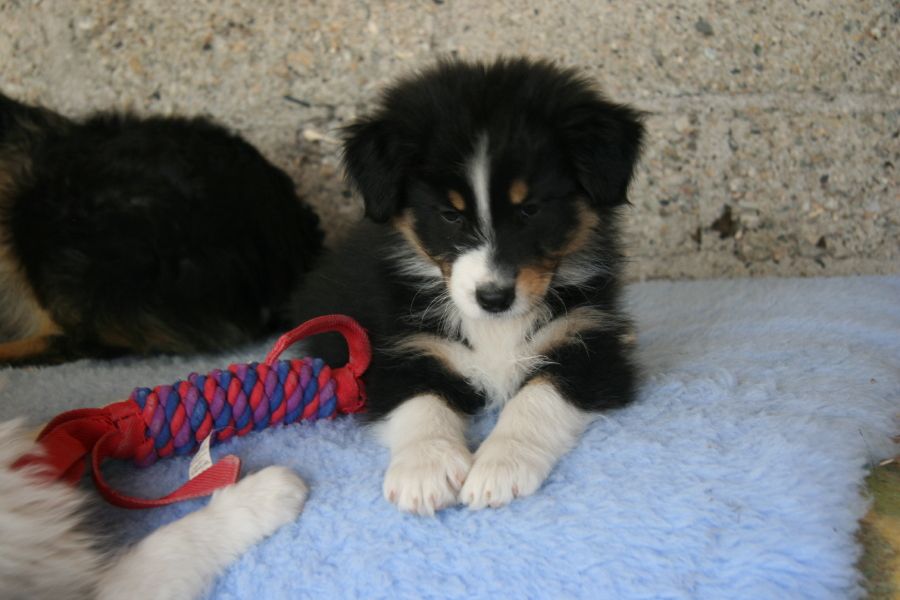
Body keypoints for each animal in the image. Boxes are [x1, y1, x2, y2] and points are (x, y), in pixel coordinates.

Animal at [292, 58, 644, 515]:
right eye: (449, 214)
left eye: (530, 209)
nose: (494, 298)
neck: (494, 328)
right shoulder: (395, 351)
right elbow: (421, 402)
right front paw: (425, 471)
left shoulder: (590, 347)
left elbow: (538, 398)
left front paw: (499, 467)